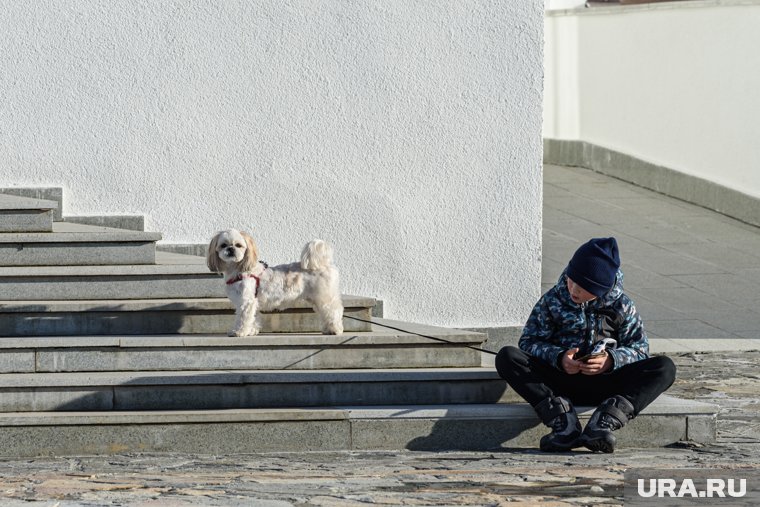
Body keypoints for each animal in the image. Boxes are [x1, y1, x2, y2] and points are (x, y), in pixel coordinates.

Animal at [205, 231, 342, 338]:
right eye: (223, 245)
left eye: (238, 245)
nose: (230, 249)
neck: (239, 270)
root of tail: (323, 264)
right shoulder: (252, 302)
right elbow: (253, 317)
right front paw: (251, 331)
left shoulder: (246, 301)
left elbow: (243, 318)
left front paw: (239, 331)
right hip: (316, 299)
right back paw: (327, 329)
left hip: (324, 298)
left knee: (334, 311)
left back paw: (335, 329)